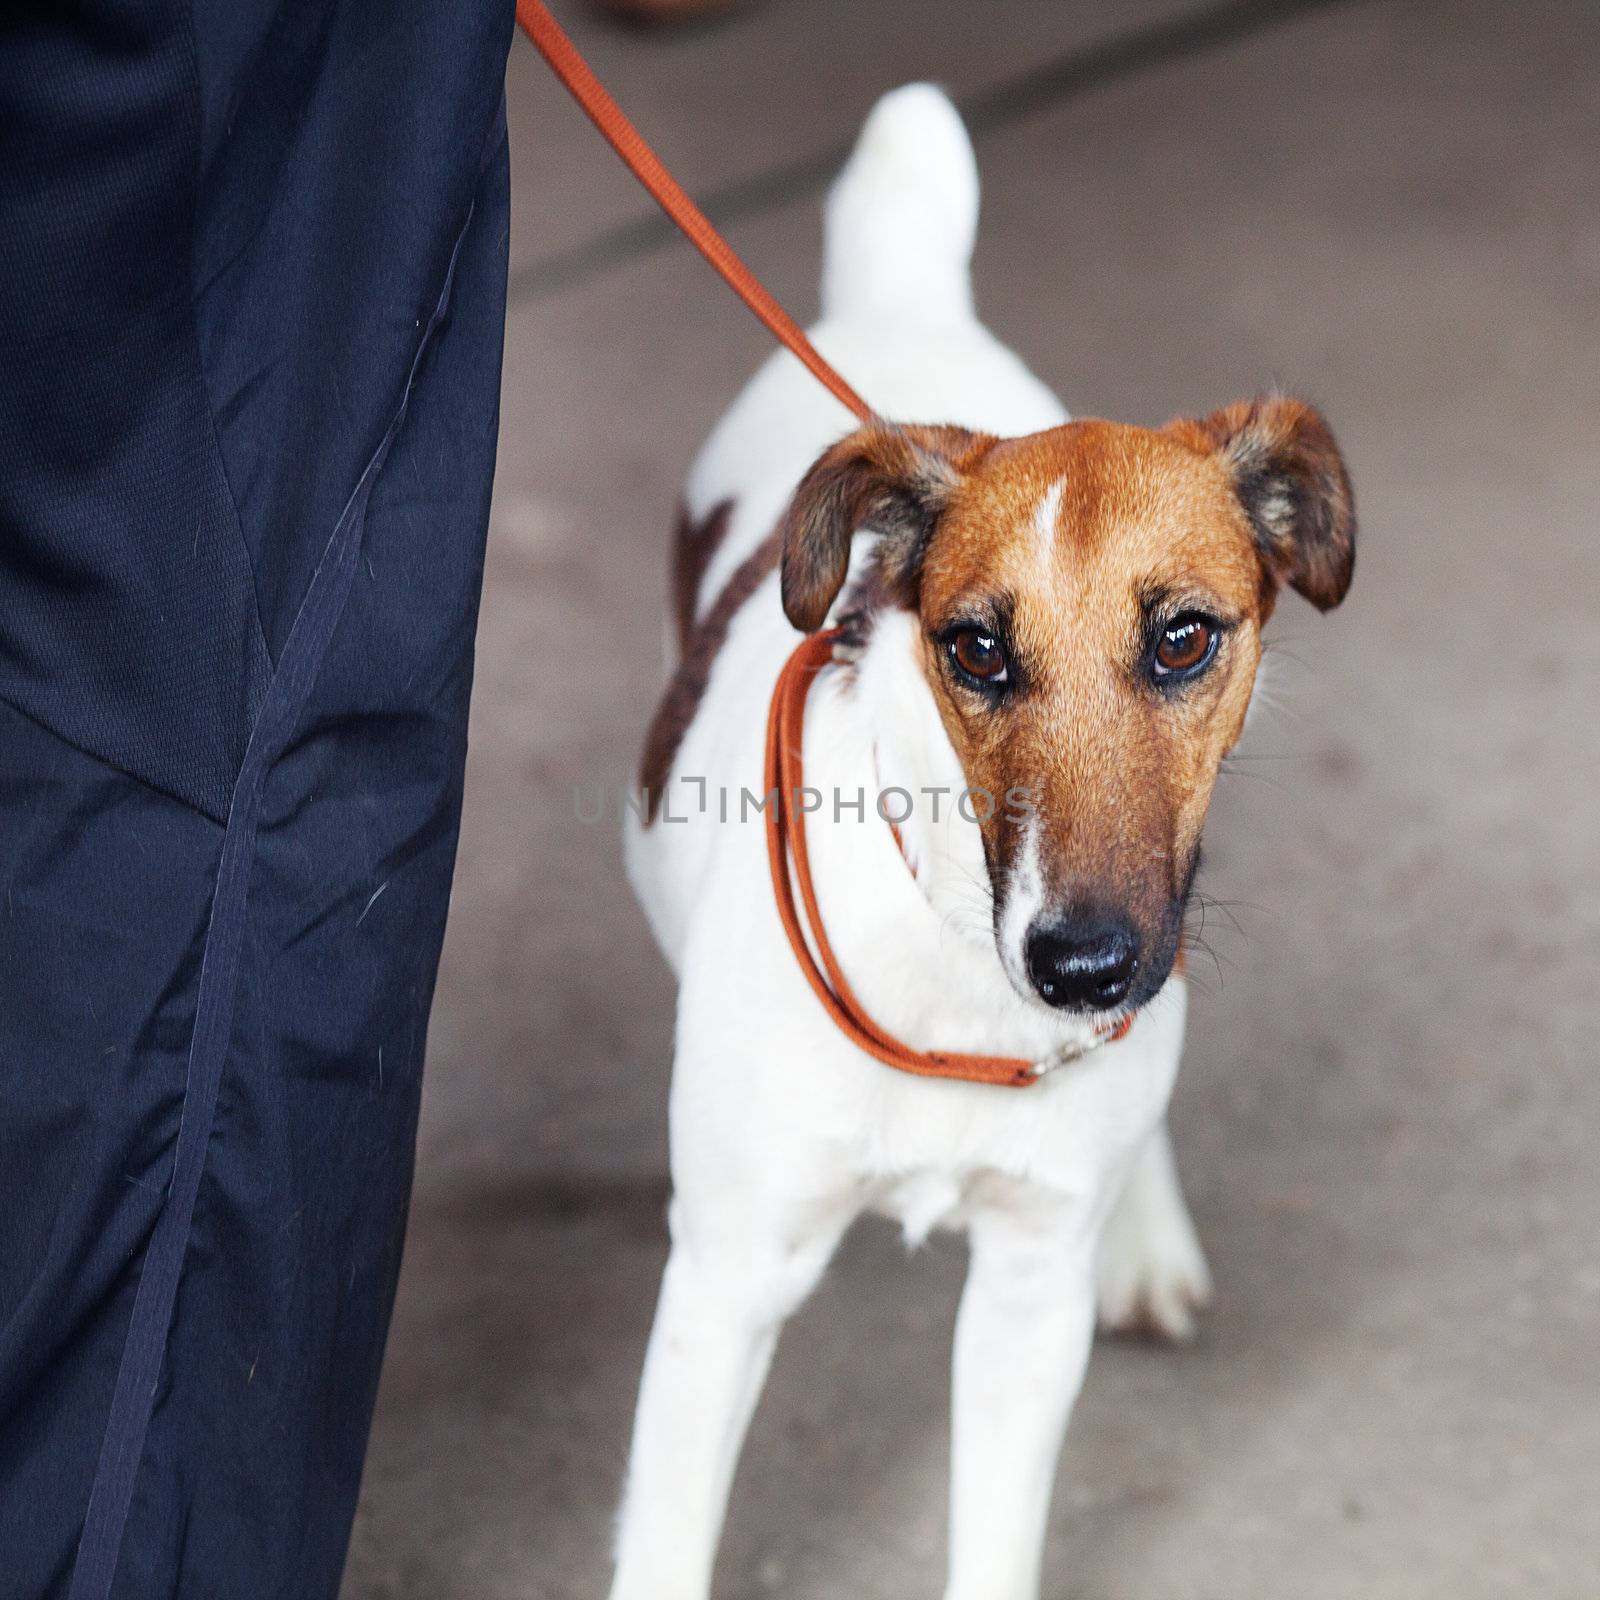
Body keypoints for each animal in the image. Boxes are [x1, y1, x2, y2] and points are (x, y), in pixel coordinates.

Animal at [611, 84, 1350, 1600]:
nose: (1079, 968)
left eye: (1183, 637)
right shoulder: (725, 1284)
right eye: (975, 650)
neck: (952, 951)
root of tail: (900, 298)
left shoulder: (1025, 1294)